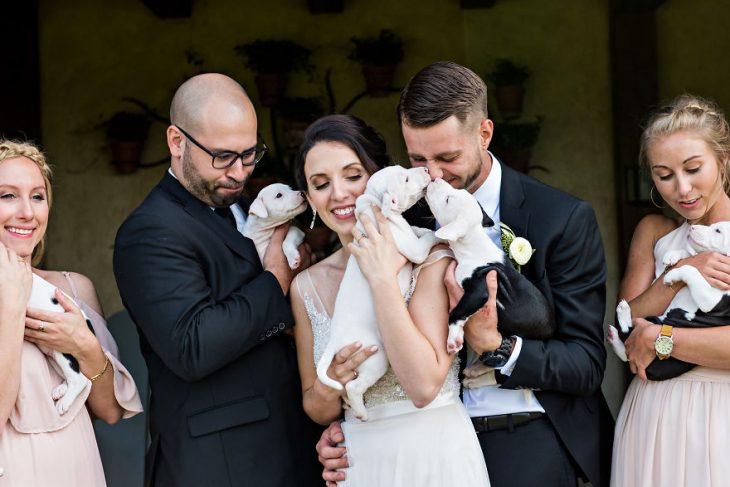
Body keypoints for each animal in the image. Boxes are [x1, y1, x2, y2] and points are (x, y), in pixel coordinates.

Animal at [314, 166, 436, 422]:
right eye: (406, 179)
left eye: (404, 170)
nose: (425, 169)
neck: (374, 209)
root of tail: (334, 341)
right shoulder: (413, 249)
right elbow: (426, 240)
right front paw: (438, 234)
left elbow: (415, 230)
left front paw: (420, 228)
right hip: (376, 358)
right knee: (353, 387)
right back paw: (361, 413)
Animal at [604, 223, 728, 384]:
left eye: (718, 231)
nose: (693, 227)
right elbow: (690, 256)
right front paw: (672, 257)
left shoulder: (710, 300)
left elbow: (691, 269)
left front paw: (671, 274)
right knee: (625, 349)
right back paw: (613, 334)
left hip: (651, 323)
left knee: (627, 333)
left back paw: (623, 311)